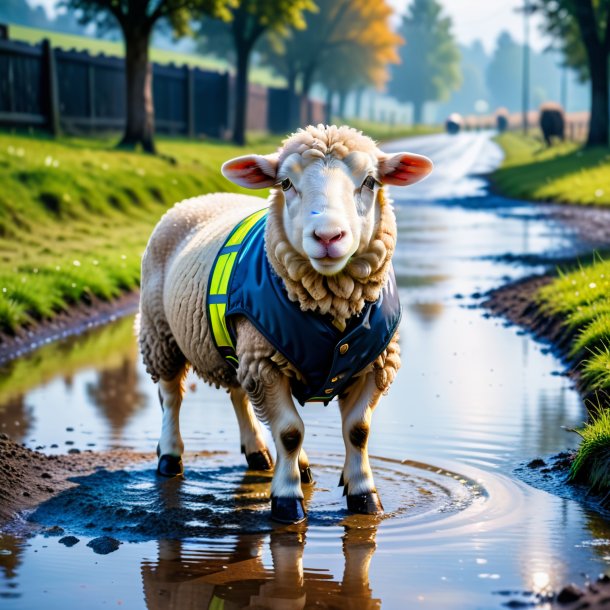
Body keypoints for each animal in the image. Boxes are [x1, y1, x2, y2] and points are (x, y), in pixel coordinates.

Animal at [138, 124, 432, 524]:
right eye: (286, 183)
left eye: (370, 181)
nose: (328, 236)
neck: (330, 302)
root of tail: (200, 198)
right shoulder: (266, 364)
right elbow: (291, 432)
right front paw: (287, 501)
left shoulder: (373, 362)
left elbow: (357, 431)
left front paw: (364, 496)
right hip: (161, 332)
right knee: (171, 396)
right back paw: (170, 456)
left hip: (239, 347)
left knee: (239, 394)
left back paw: (263, 454)